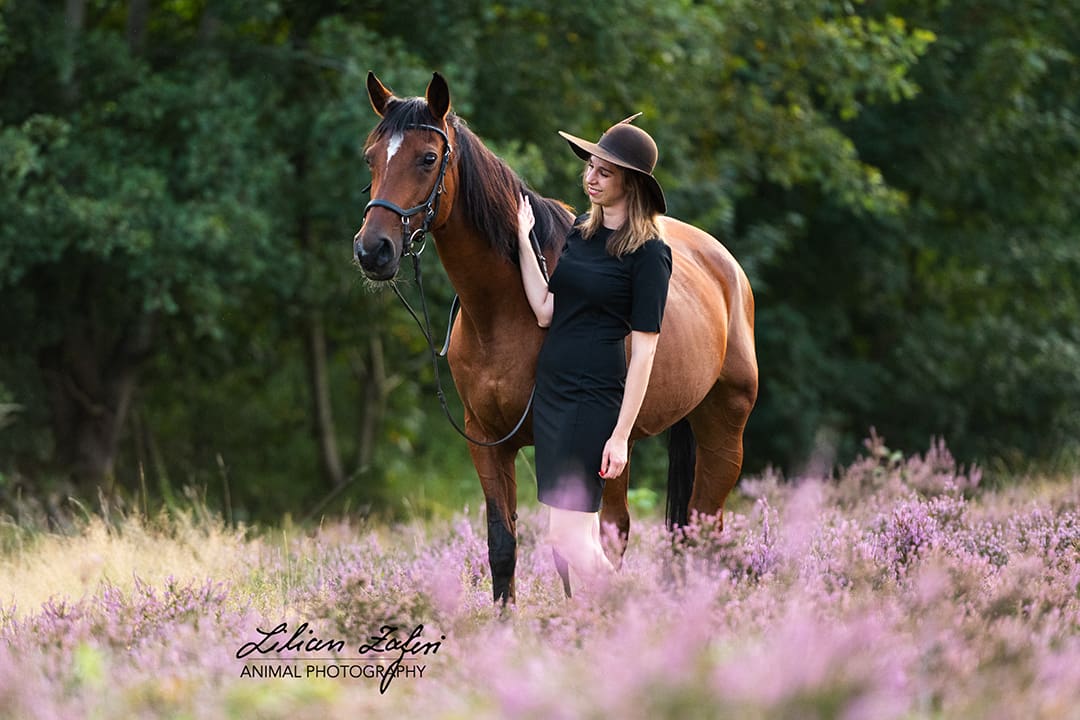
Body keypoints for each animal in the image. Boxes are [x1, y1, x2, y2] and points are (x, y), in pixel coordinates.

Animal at [353, 72, 758, 604]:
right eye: (371, 157)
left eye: (427, 158)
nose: (372, 250)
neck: (501, 314)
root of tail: (726, 267)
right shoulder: (487, 443)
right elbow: (504, 547)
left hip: (719, 433)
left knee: (695, 527)